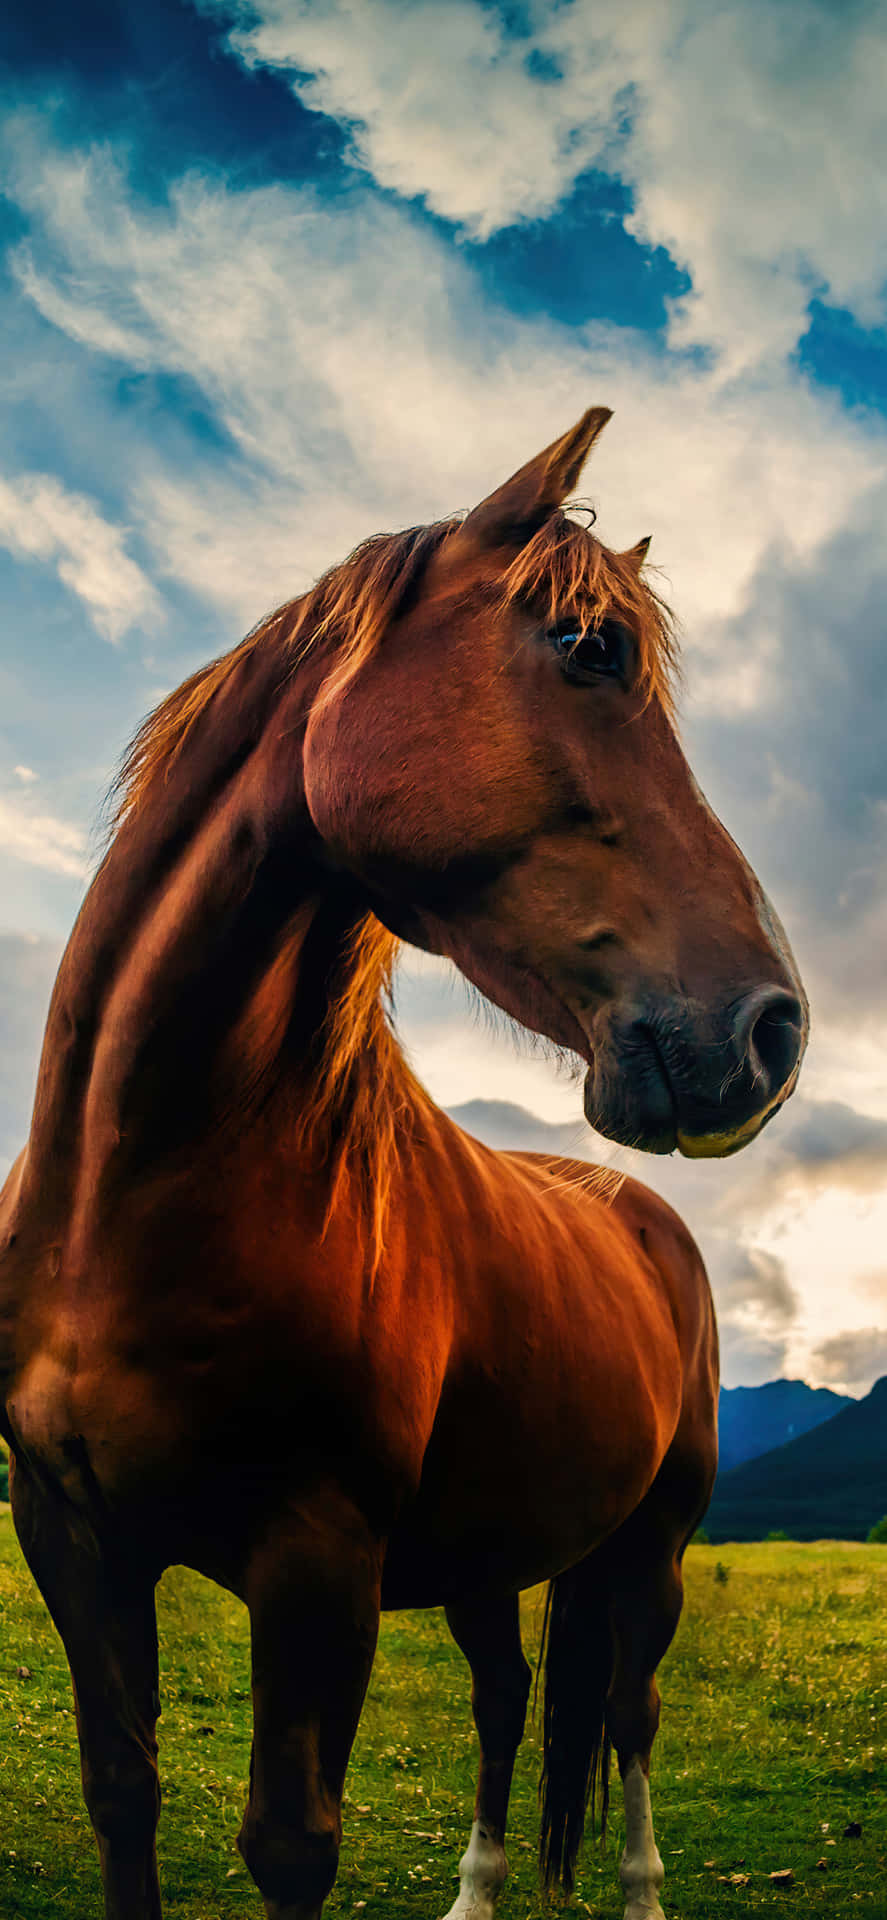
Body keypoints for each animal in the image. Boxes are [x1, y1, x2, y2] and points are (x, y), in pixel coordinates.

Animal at [0, 405, 807, 1920]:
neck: (135, 1203)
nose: (771, 1030)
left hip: (654, 1548)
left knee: (626, 1717)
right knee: (506, 1700)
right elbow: (120, 1796)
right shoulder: (71, 1537)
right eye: (584, 648)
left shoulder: (317, 1562)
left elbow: (289, 1844)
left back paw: (639, 1890)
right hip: (493, 1551)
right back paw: (478, 1890)